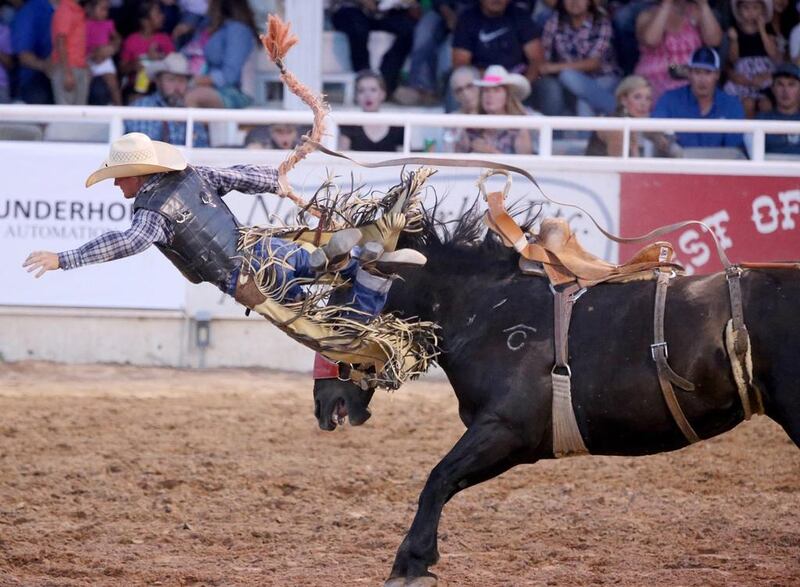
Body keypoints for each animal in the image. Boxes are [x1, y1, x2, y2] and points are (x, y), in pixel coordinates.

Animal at [312, 206, 800, 584]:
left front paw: (411, 562)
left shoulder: (506, 431)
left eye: (342, 300)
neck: (485, 312)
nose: (323, 402)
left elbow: (439, 479)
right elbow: (444, 481)